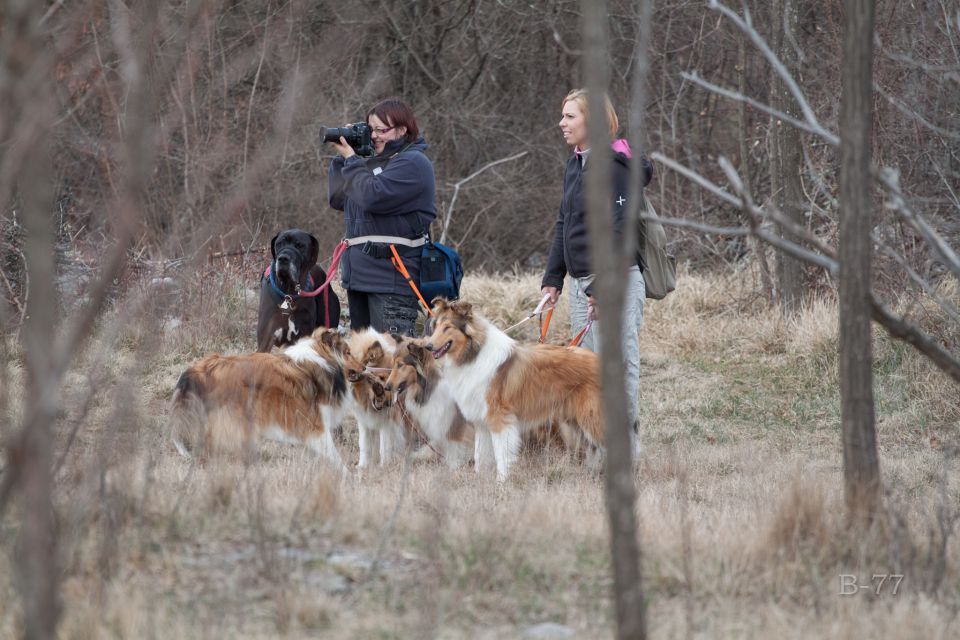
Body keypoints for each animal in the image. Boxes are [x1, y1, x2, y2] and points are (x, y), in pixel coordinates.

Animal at [171, 328, 354, 468]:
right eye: (348, 352)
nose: (363, 367)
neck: (320, 360)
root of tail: (195, 371)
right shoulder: (315, 426)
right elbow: (335, 457)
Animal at [344, 328, 404, 468]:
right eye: (381, 377)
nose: (391, 403)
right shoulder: (363, 418)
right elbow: (364, 444)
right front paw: (362, 466)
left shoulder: (387, 420)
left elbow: (384, 447)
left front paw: (383, 466)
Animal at [380, 338, 474, 468]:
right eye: (393, 364)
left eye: (400, 365)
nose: (386, 387)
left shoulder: (456, 421)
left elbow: (455, 445)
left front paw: (454, 466)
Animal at [428, 300, 608, 480]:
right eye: (436, 326)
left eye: (447, 327)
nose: (428, 346)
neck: (473, 354)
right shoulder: (482, 421)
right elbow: (480, 455)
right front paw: (479, 478)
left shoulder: (500, 418)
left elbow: (501, 454)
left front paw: (501, 481)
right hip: (576, 420)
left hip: (591, 418)